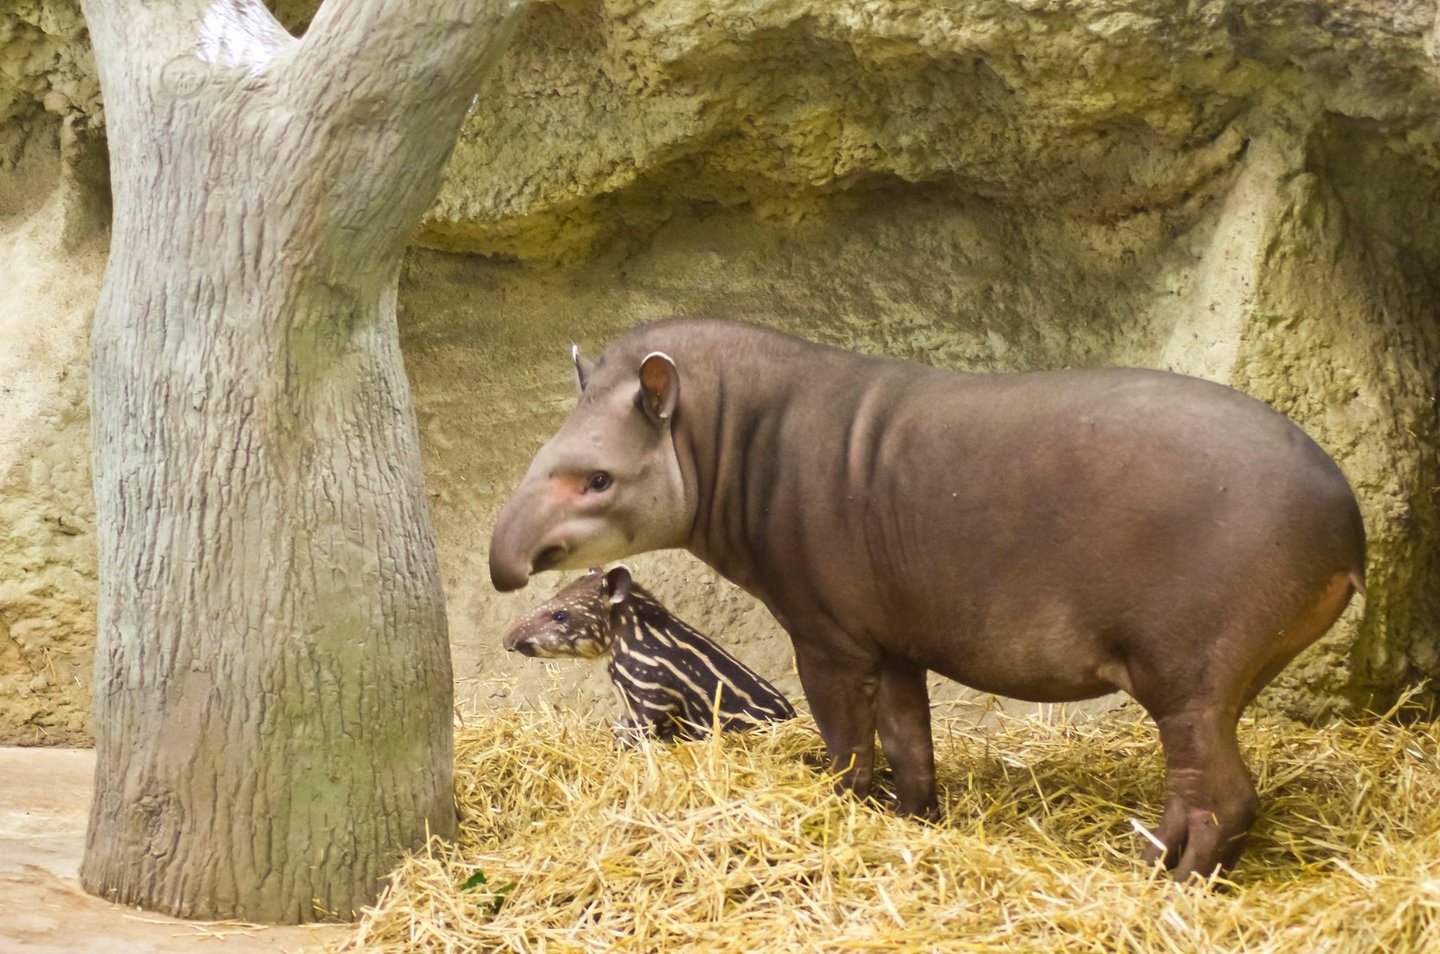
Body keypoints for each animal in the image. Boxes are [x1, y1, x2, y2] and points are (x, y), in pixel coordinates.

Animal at [488, 318, 1366, 880]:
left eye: (598, 478)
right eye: (537, 454)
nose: (499, 567)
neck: (733, 433)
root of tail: (1349, 533)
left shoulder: (827, 633)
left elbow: (847, 735)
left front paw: (841, 801)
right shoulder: (895, 635)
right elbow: (910, 740)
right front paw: (912, 819)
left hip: (1191, 663)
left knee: (1222, 794)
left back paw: (1164, 879)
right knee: (1204, 786)